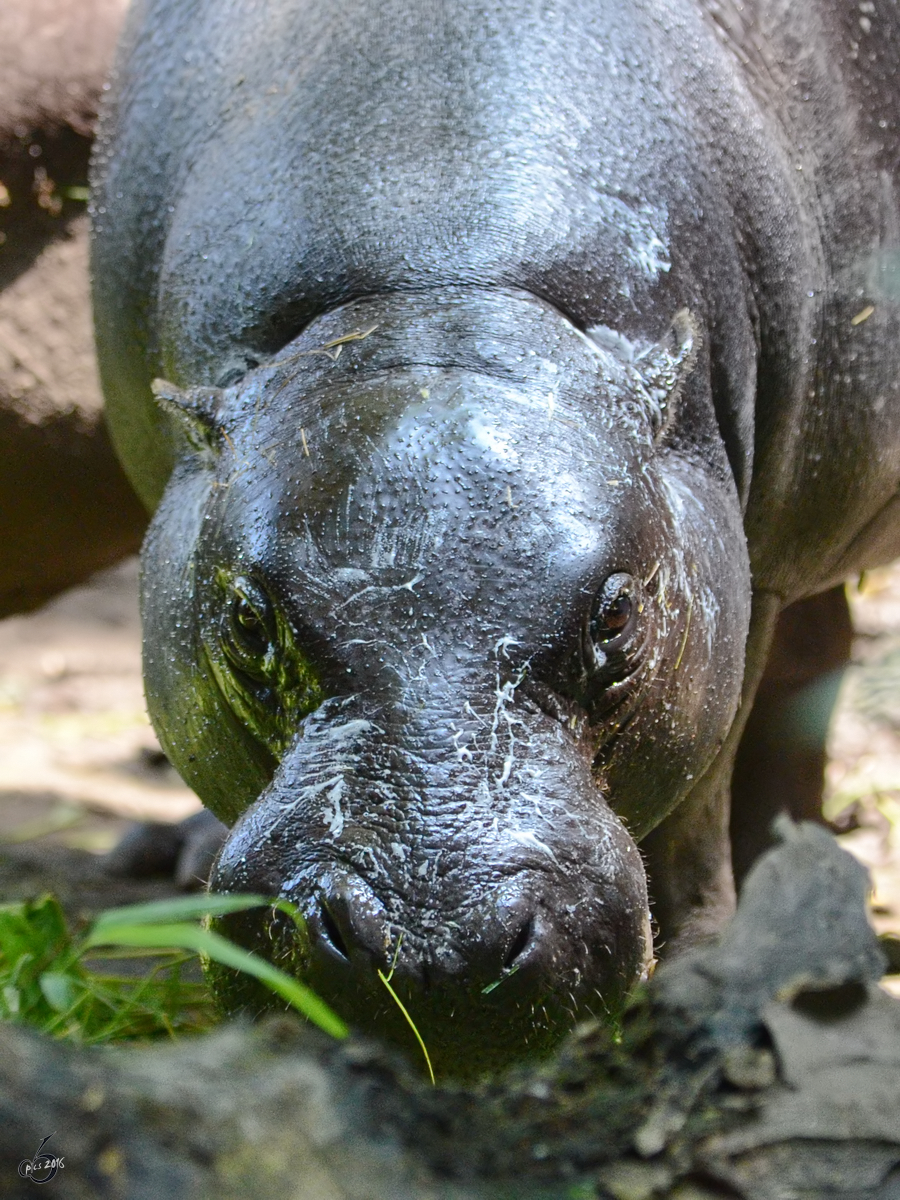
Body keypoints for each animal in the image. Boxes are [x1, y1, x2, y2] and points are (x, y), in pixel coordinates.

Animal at [90, 0, 900, 1075]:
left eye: (618, 617)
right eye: (248, 624)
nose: (433, 945)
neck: (437, 267)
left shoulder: (739, 594)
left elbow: (699, 801)